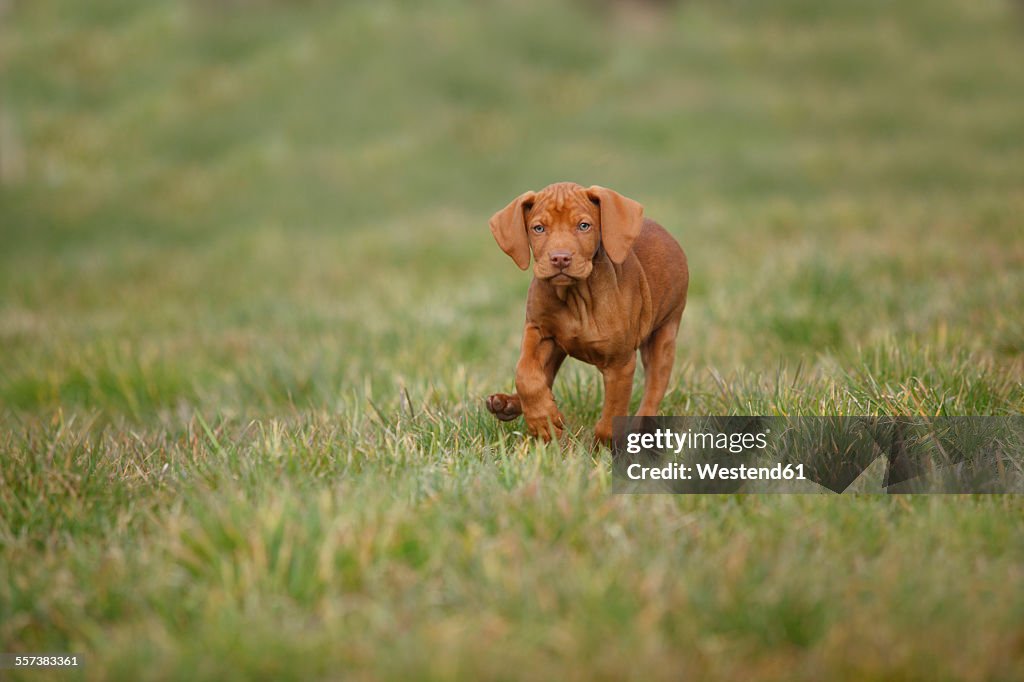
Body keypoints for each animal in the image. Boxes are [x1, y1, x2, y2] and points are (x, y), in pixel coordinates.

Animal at [485, 183, 688, 444]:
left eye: (584, 226)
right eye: (538, 228)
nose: (560, 258)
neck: (575, 297)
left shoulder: (620, 364)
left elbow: (610, 419)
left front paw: (600, 449)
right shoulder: (537, 330)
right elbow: (526, 374)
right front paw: (543, 420)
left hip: (664, 337)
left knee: (653, 393)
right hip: (556, 347)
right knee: (544, 375)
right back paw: (510, 404)